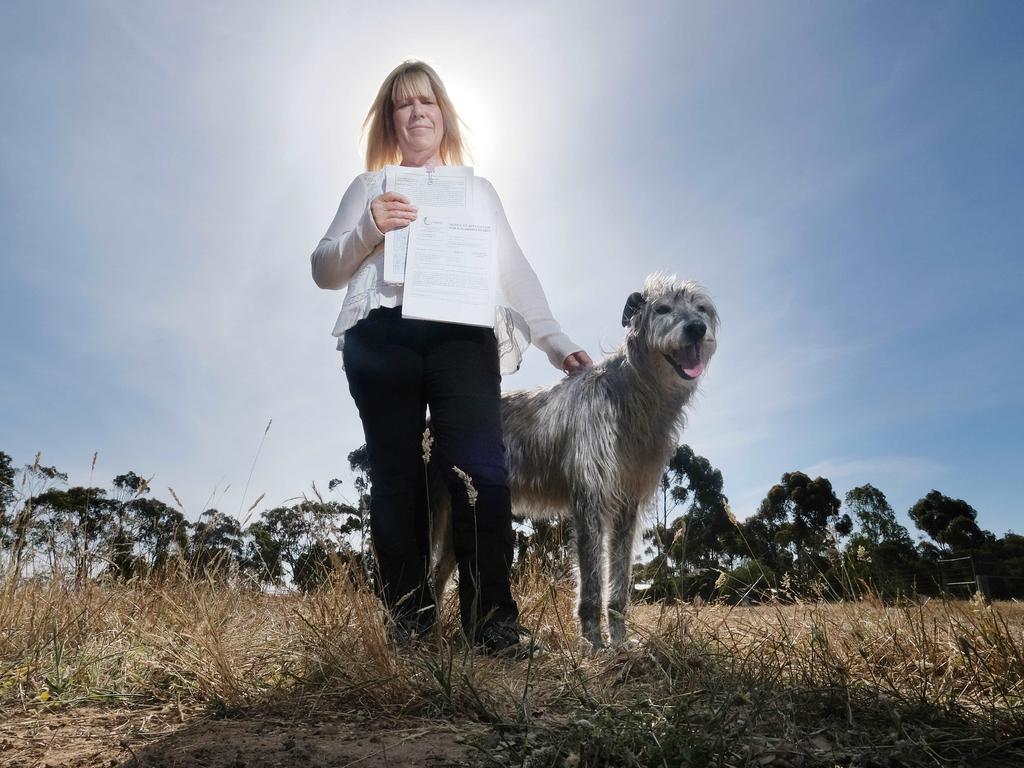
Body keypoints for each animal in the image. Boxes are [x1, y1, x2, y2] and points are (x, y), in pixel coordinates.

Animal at [428, 276, 716, 651]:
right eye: (662, 309)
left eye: (702, 308)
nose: (697, 328)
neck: (630, 395)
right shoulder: (590, 499)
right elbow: (592, 582)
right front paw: (593, 643)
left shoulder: (627, 505)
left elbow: (618, 583)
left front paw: (619, 642)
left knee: (440, 573)